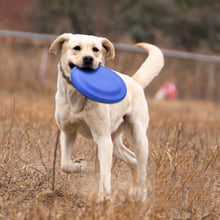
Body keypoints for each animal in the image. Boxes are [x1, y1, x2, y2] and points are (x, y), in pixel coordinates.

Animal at [49, 33, 163, 202]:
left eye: (95, 49)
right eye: (76, 48)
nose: (88, 59)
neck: (79, 96)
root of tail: (134, 81)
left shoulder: (102, 137)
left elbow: (104, 173)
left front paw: (104, 197)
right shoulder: (68, 132)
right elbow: (65, 165)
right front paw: (80, 164)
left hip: (138, 138)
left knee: (142, 169)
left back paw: (141, 197)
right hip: (115, 143)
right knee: (133, 160)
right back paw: (133, 192)